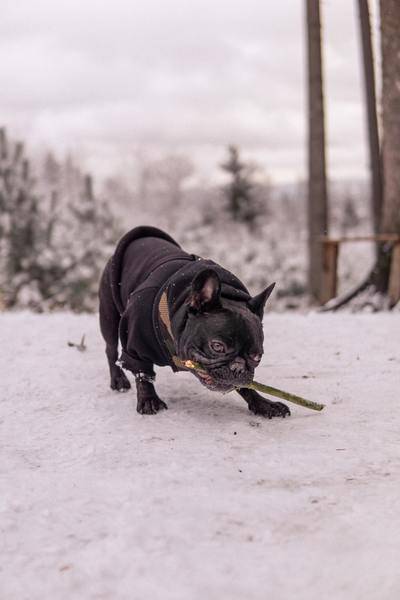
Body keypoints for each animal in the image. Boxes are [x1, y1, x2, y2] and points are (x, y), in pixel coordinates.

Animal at [98, 225, 290, 418]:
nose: (238, 368)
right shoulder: (136, 345)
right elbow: (142, 373)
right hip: (109, 317)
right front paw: (148, 399)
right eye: (217, 347)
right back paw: (118, 379)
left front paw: (263, 404)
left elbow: (246, 385)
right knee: (110, 349)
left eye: (257, 357)